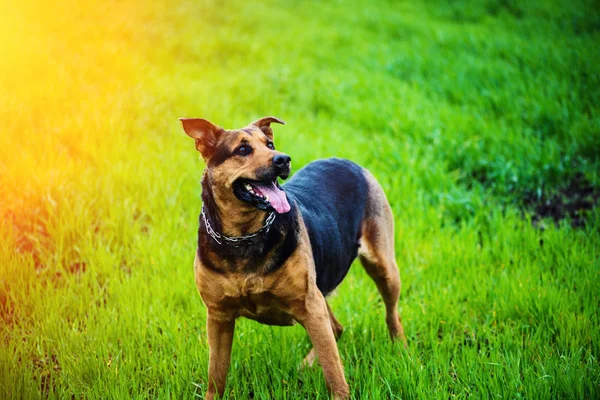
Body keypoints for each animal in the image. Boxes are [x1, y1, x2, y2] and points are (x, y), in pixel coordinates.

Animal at [179, 116, 408, 400]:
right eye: (242, 149)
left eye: (270, 144)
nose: (283, 159)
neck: (245, 236)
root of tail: (349, 162)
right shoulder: (219, 316)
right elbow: (216, 375)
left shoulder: (309, 305)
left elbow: (333, 370)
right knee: (336, 329)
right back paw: (307, 365)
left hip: (382, 266)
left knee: (390, 314)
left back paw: (401, 350)